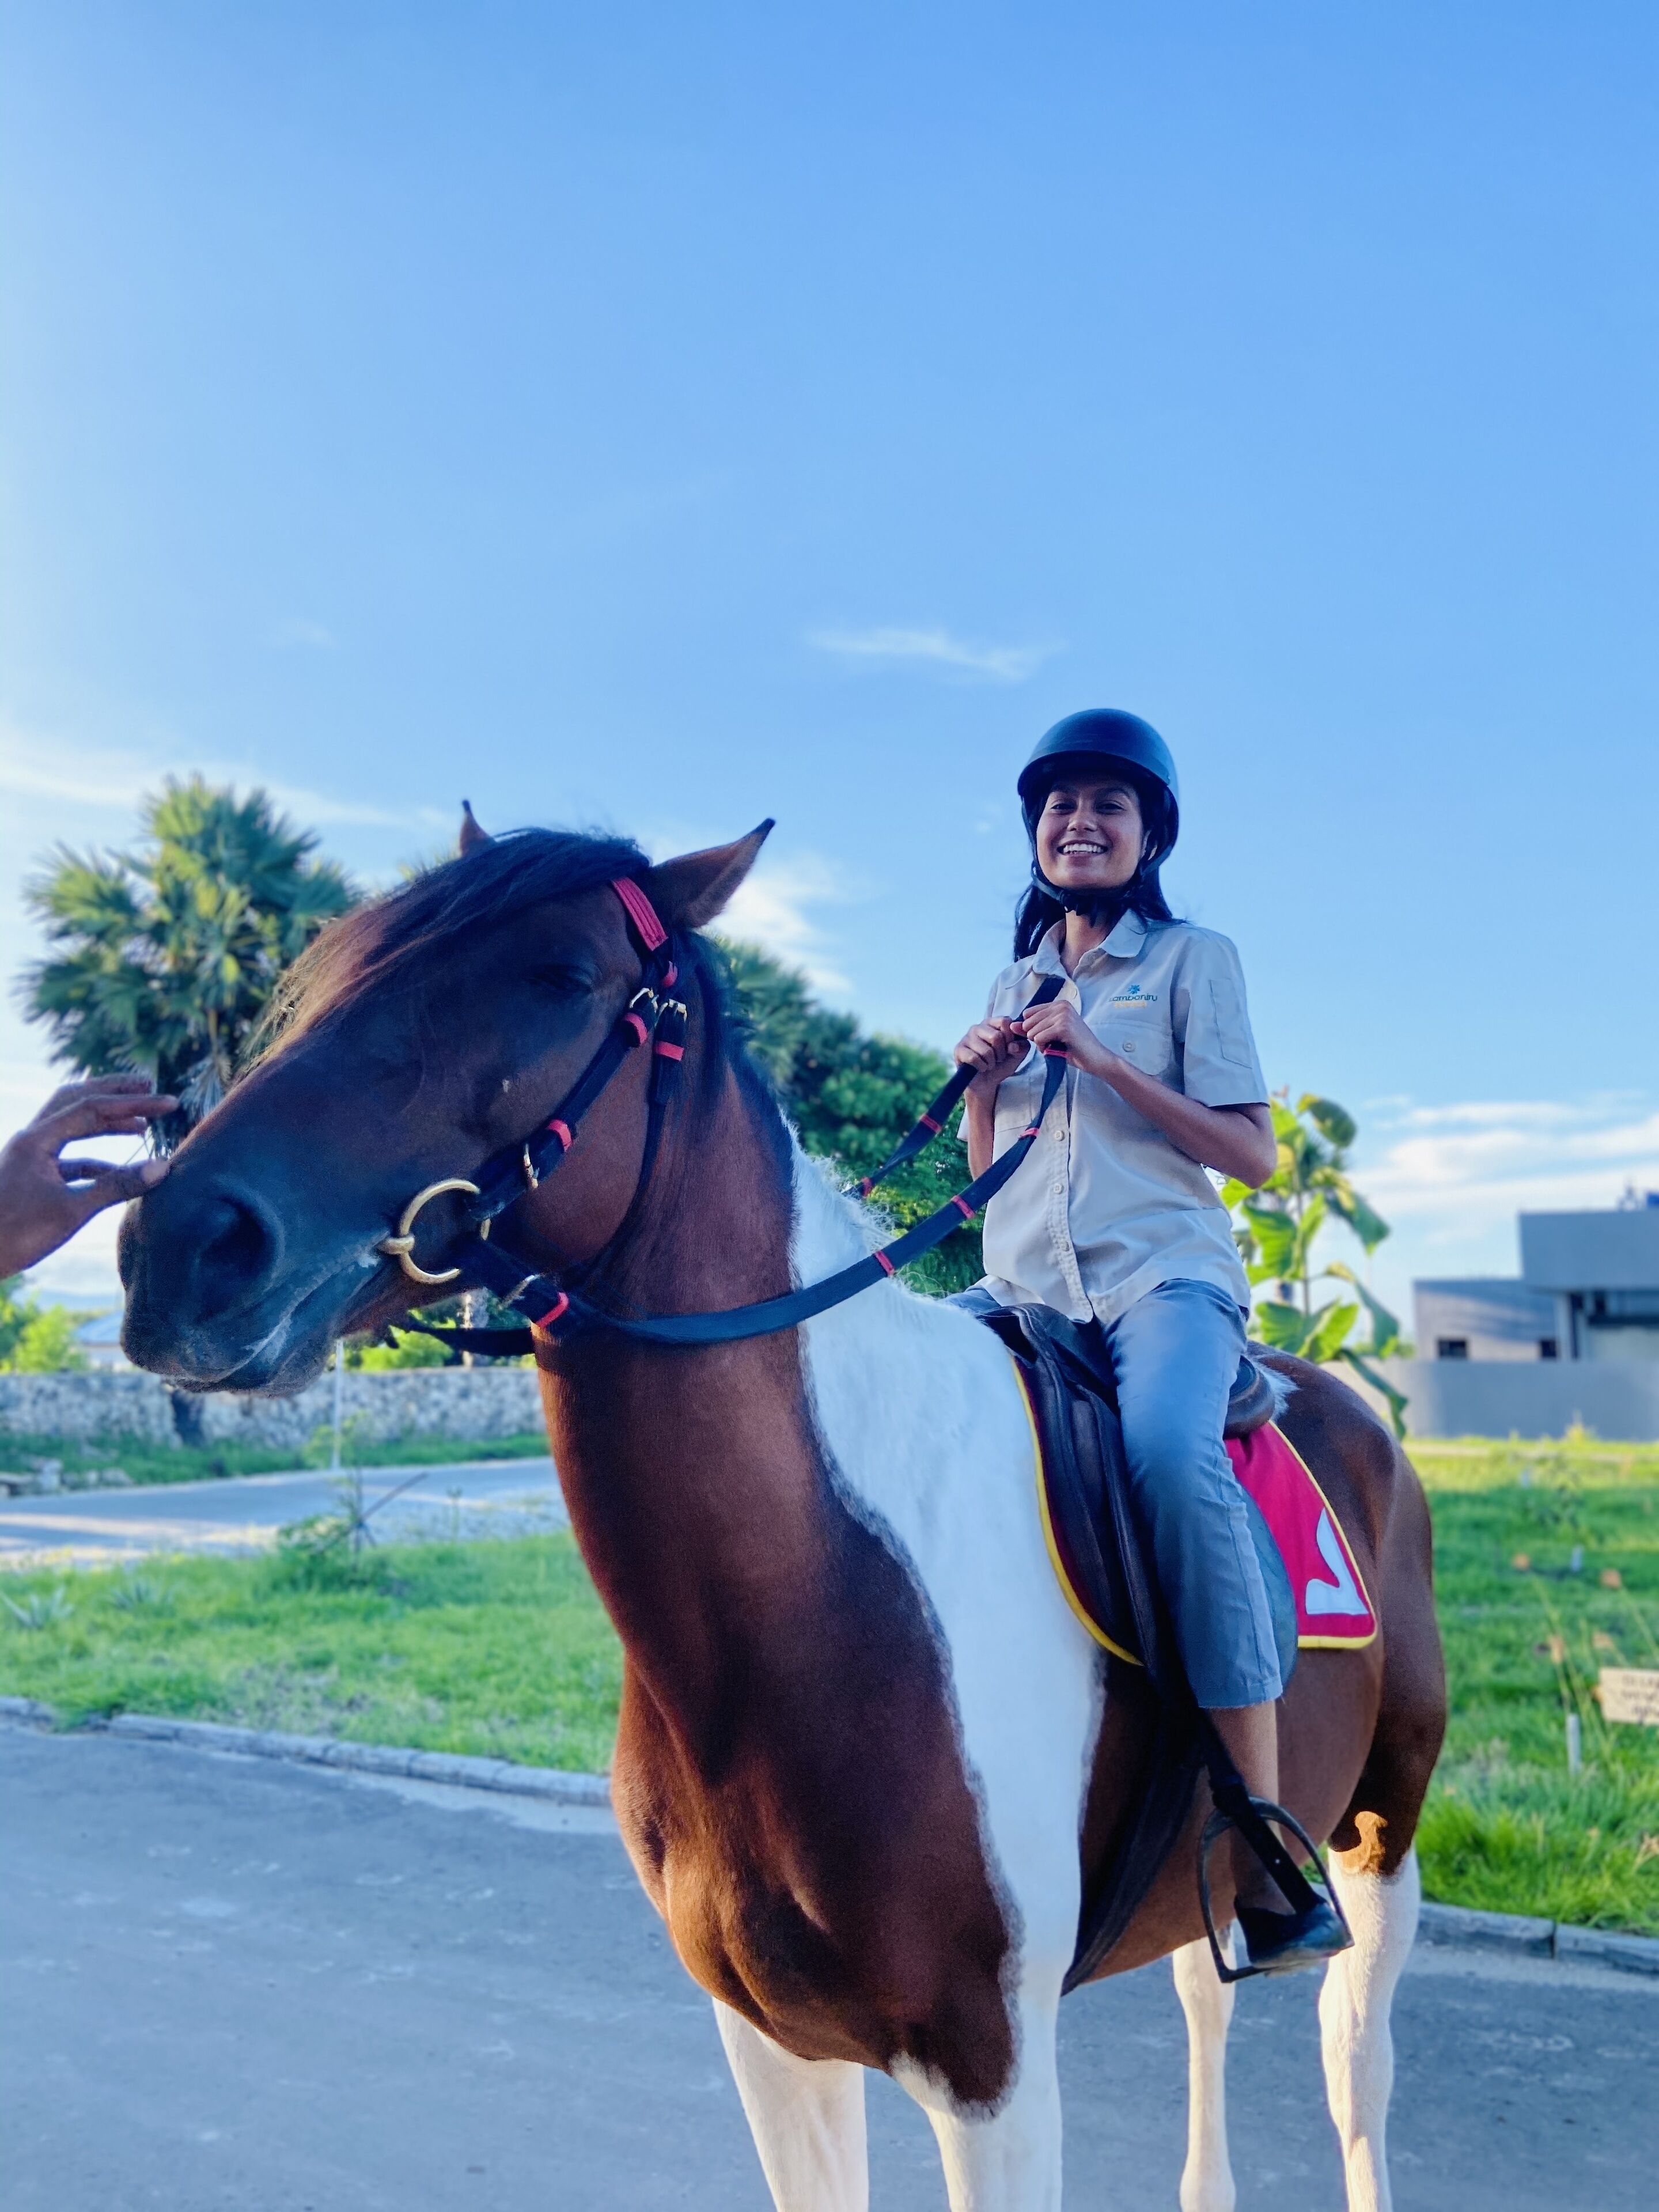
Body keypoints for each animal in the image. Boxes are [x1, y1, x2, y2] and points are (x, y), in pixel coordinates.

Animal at [118, 818, 1447, 2212]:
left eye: (561, 977)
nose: (181, 1241)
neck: (827, 1598)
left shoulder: (997, 2073)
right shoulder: (773, 2045)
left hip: (1381, 1839)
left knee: (1357, 2071)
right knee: (1206, 1991)